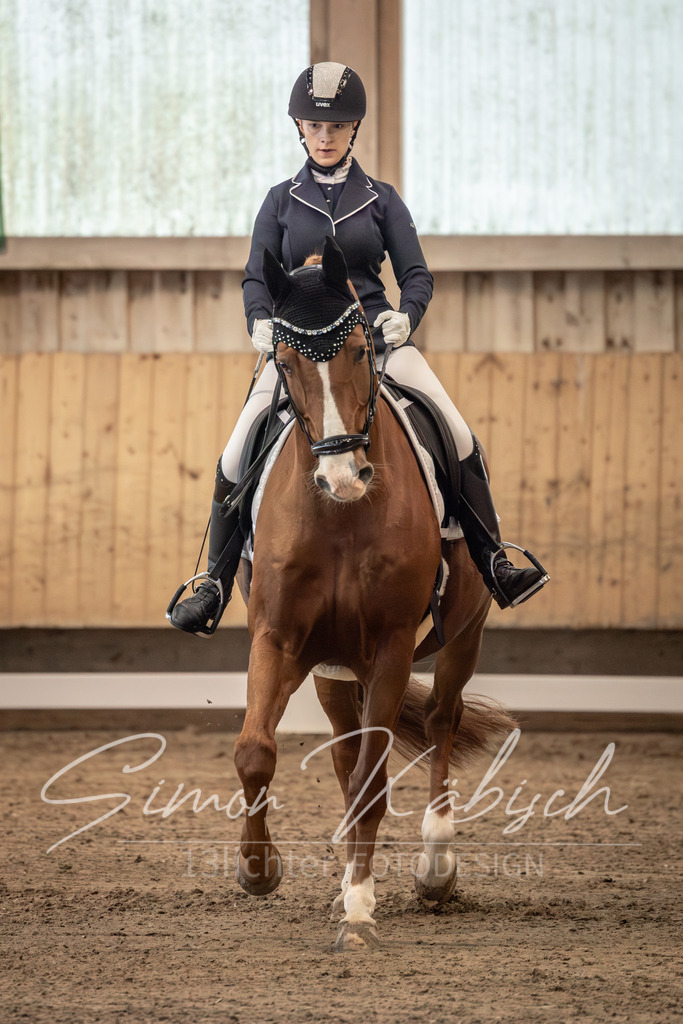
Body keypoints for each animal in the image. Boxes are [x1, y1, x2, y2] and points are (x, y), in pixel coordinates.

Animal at [232, 236, 514, 951]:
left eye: (362, 348)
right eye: (283, 361)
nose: (343, 477)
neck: (341, 516)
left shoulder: (389, 646)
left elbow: (373, 779)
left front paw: (358, 908)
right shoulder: (277, 637)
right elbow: (256, 752)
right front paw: (259, 871)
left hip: (461, 635)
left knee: (441, 719)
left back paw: (435, 867)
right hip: (334, 667)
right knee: (343, 746)